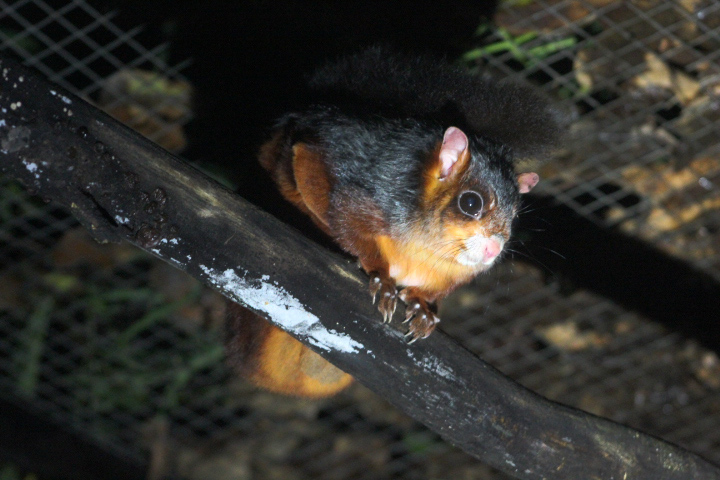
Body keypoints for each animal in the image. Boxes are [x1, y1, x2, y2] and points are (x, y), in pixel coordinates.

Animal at [226, 47, 560, 397]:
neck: (423, 244)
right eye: (471, 203)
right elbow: (321, 181)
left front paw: (423, 306)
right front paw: (378, 274)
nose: (494, 250)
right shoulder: (363, 177)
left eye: (515, 216)